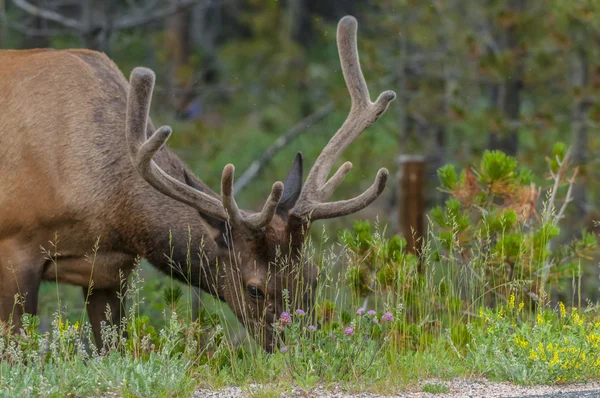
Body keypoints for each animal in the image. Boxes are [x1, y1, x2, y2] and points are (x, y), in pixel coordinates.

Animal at [0, 16, 396, 352]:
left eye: (313, 276)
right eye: (254, 289)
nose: (304, 350)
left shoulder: (109, 272)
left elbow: (112, 349)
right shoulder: (16, 249)